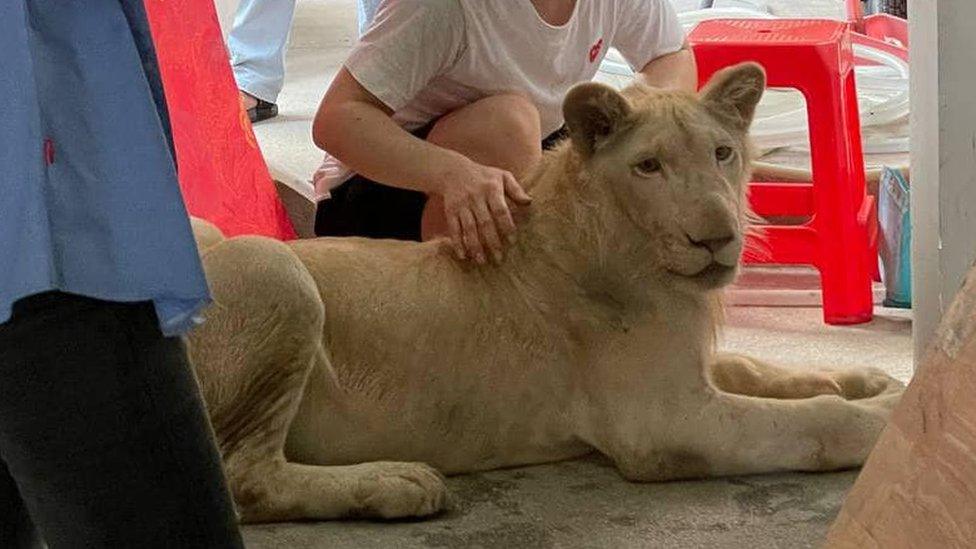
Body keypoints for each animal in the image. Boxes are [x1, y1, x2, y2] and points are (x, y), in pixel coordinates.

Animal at [185, 64, 908, 524]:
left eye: (723, 153)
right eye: (649, 166)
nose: (716, 238)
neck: (643, 263)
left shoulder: (691, 370)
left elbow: (768, 368)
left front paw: (872, 381)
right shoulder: (665, 423)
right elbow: (816, 420)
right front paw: (883, 421)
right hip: (273, 268)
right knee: (246, 480)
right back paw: (397, 483)